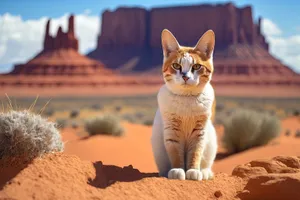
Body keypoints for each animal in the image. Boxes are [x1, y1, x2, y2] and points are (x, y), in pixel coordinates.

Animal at [151, 29, 217, 181]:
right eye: (176, 66)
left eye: (197, 66)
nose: (185, 76)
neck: (187, 100)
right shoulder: (171, 130)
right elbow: (175, 153)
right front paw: (177, 170)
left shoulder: (200, 131)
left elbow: (195, 153)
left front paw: (193, 171)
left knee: (206, 163)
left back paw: (205, 172)